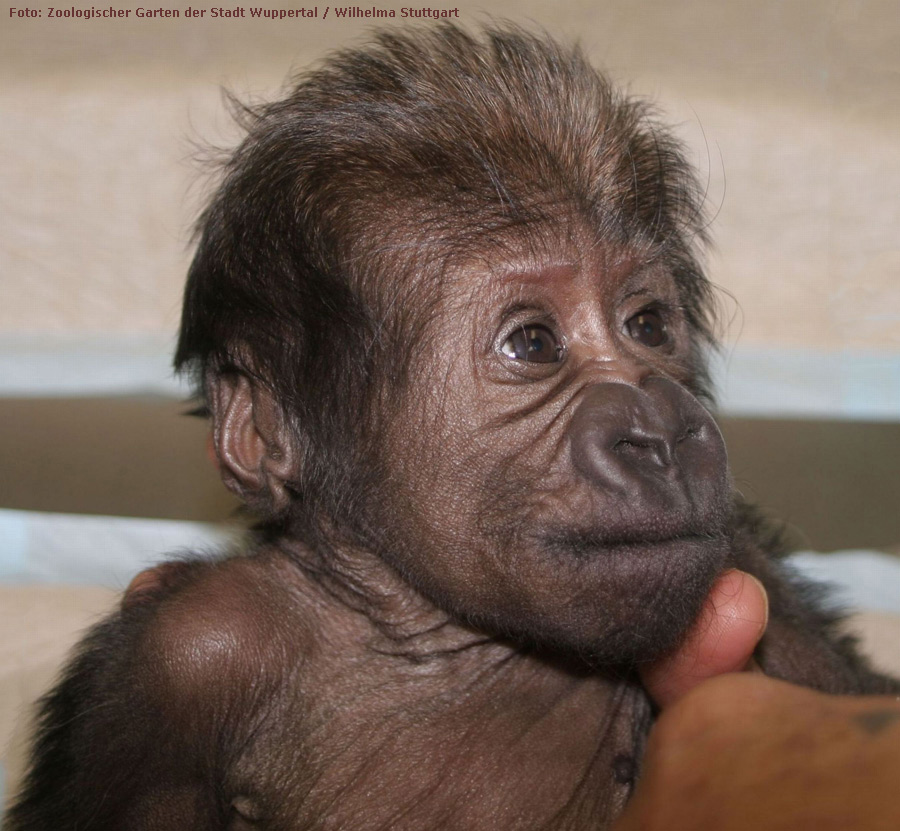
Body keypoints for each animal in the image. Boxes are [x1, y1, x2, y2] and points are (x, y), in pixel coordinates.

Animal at [8, 22, 900, 828]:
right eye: (533, 343)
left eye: (648, 325)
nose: (660, 433)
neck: (435, 634)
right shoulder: (176, 662)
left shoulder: (765, 596)